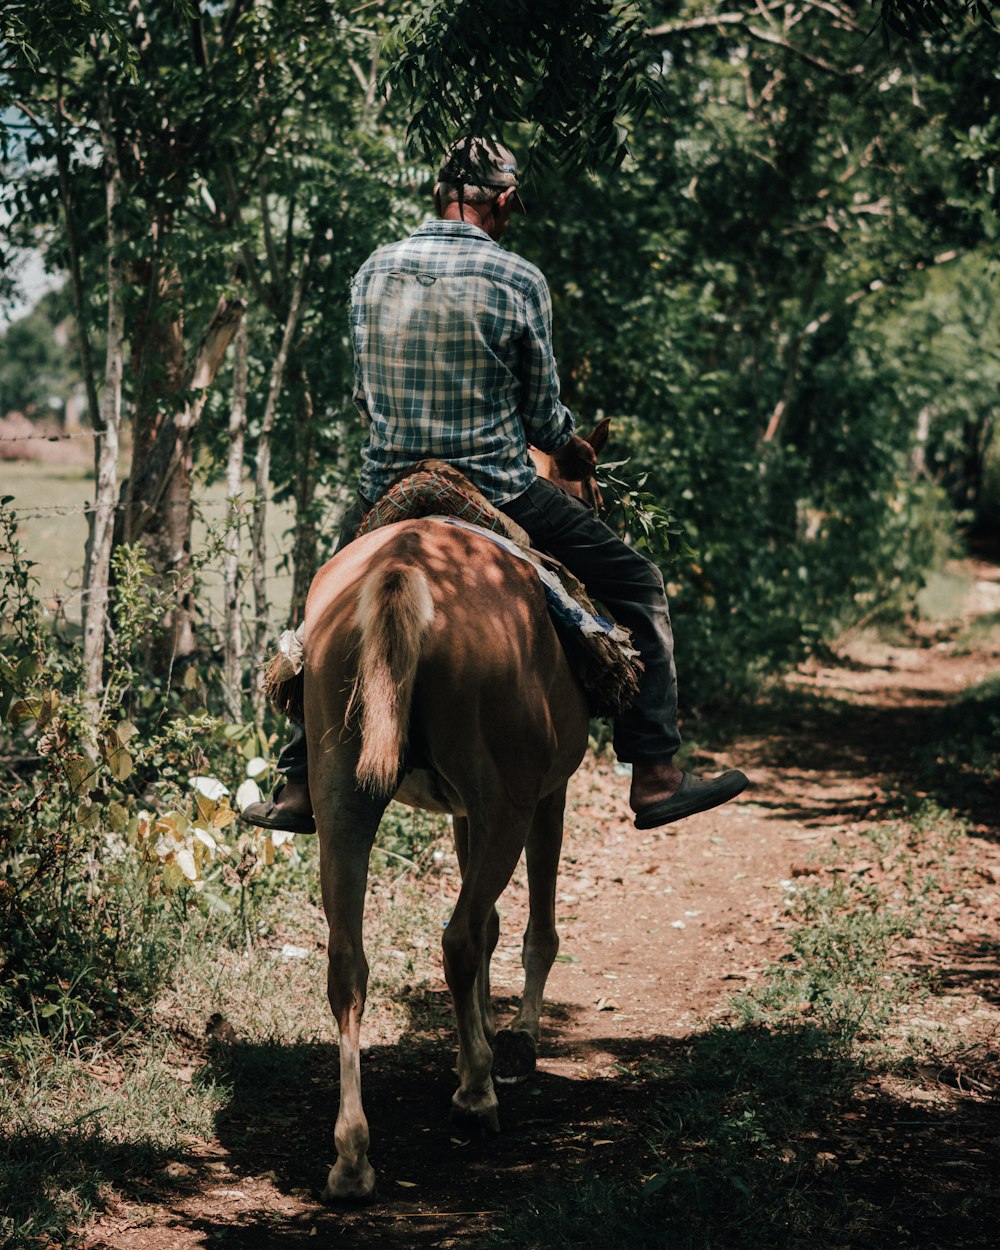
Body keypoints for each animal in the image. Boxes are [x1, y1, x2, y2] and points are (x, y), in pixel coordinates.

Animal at [305, 442, 610, 1200]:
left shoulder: (465, 811)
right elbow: (531, 929)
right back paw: (476, 1095)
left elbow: (496, 923)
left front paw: (480, 1039)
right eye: (592, 496)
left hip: (339, 800)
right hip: (507, 804)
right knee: (458, 936)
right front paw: (514, 1043)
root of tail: (404, 572)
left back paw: (352, 1158)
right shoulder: (543, 796)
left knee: (349, 964)